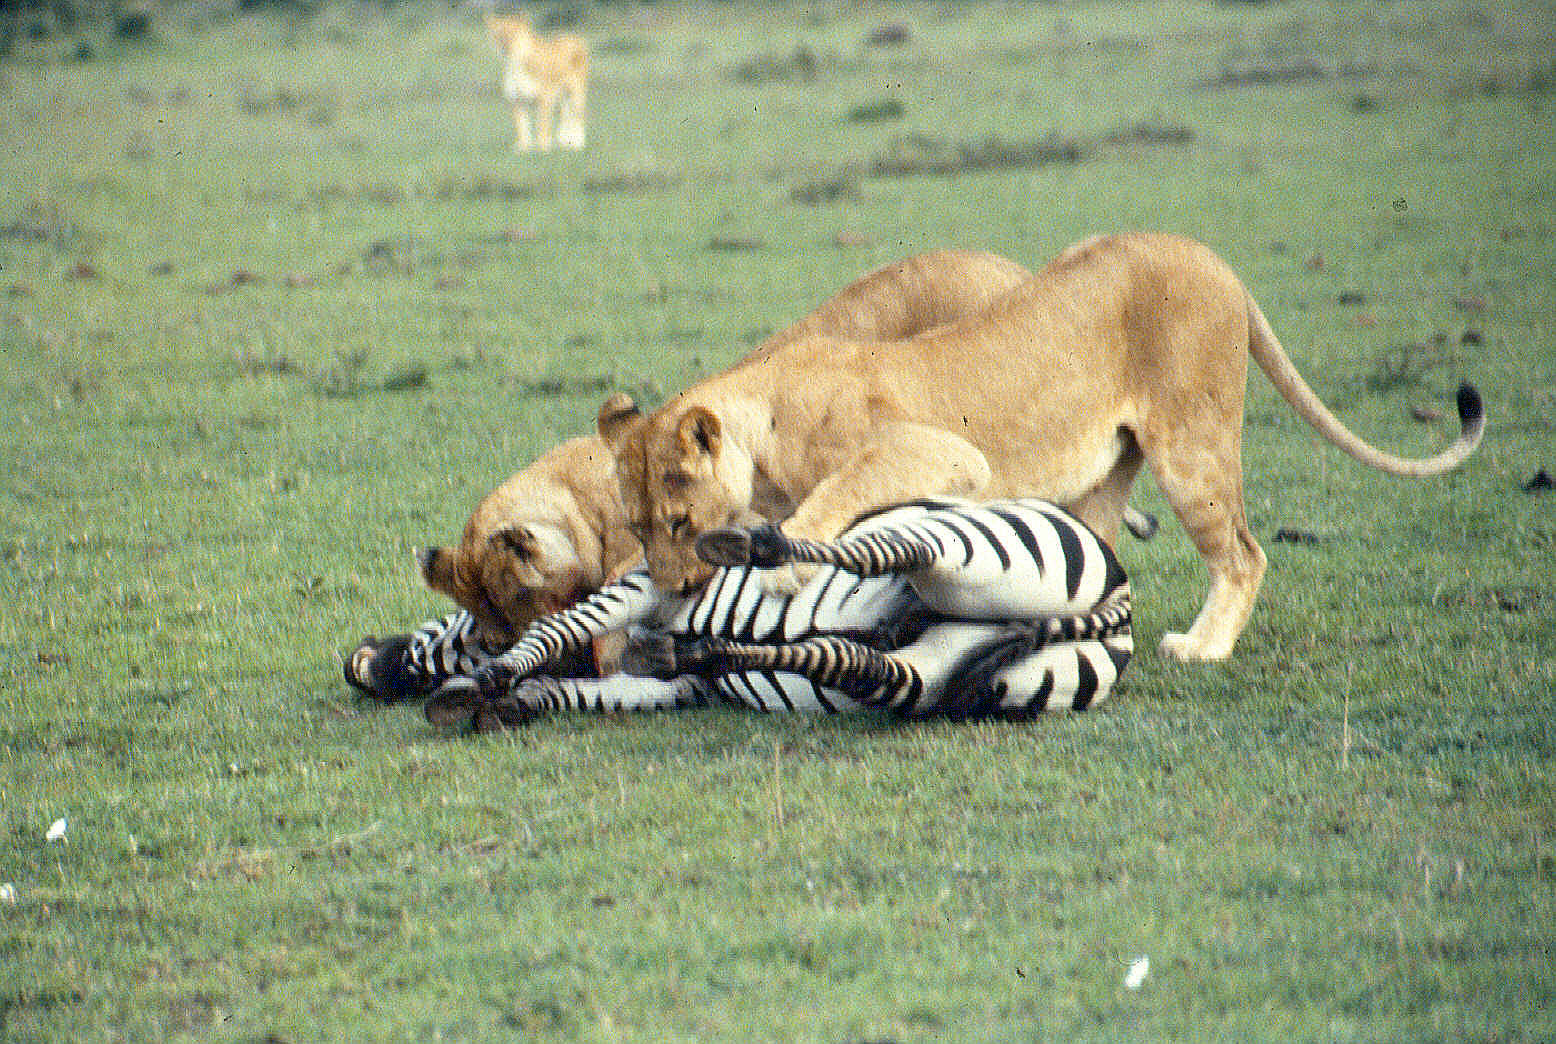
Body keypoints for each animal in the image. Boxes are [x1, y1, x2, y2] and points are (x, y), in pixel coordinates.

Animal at [380, 497, 1133, 728]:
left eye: (455, 626)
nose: (368, 665)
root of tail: (1118, 601)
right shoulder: (678, 690)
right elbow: (598, 690)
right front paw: (521, 698)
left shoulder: (648, 585)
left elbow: (553, 629)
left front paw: (489, 682)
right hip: (944, 674)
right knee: (860, 660)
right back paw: (697, 649)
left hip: (962, 543)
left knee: (889, 550)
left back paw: (748, 544)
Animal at [486, 12, 589, 152]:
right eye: (498, 33)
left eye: (514, 33)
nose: (505, 45)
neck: (514, 63)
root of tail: (573, 37)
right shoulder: (518, 100)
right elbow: (522, 127)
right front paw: (522, 148)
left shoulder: (544, 98)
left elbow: (542, 124)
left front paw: (542, 147)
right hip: (562, 97)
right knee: (565, 115)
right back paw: (564, 142)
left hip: (577, 93)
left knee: (578, 117)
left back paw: (577, 144)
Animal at [598, 232, 1485, 662]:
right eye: (637, 530)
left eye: (678, 524)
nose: (670, 590)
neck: (763, 422)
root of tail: (1211, 257)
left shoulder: (945, 455)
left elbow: (837, 492)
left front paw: (786, 563)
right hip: (1103, 476)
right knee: (1100, 562)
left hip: (1192, 445)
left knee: (1242, 554)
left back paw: (1203, 648)